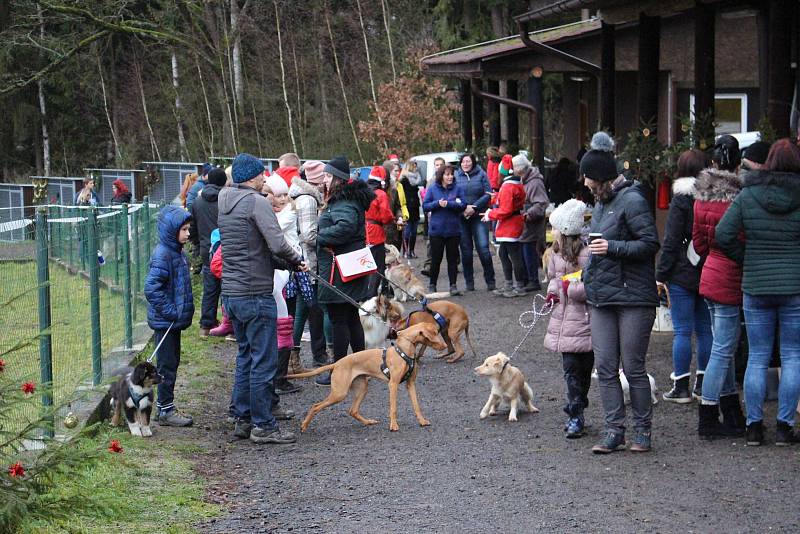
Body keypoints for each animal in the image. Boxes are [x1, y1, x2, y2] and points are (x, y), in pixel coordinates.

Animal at [288, 324, 450, 434]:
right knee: (315, 406)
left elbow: (416, 406)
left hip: (362, 388)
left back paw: (368, 422)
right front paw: (393, 425)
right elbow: (393, 408)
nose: (445, 345)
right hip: (339, 393)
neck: (405, 350)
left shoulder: (410, 384)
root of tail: (337, 363)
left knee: (352, 410)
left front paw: (422, 421)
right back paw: (304, 426)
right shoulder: (393, 384)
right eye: (436, 333)